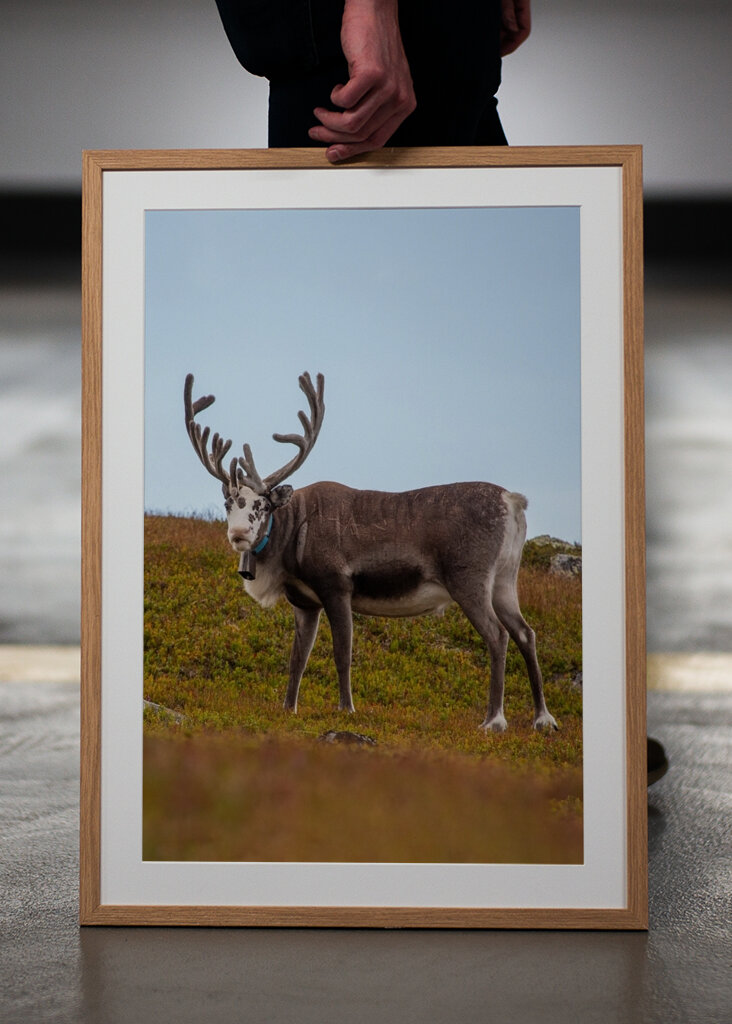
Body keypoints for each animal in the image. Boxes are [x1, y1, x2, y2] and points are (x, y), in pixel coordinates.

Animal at [184, 371, 558, 733]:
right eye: (228, 503)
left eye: (261, 505)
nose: (238, 534)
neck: (290, 537)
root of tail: (513, 501)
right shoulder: (304, 602)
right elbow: (297, 659)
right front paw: (288, 708)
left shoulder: (337, 586)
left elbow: (342, 652)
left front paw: (346, 708)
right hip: (505, 579)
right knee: (525, 633)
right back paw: (543, 719)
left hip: (469, 579)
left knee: (497, 635)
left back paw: (494, 720)